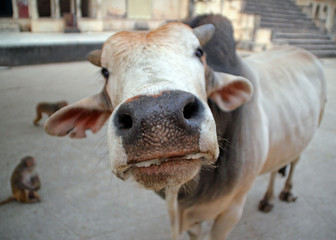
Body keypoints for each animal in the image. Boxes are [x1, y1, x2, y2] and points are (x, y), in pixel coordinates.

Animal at [43, 14, 326, 240]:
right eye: (104, 71)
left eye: (199, 53)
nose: (157, 120)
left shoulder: (231, 210)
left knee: (294, 162)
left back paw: (283, 193)